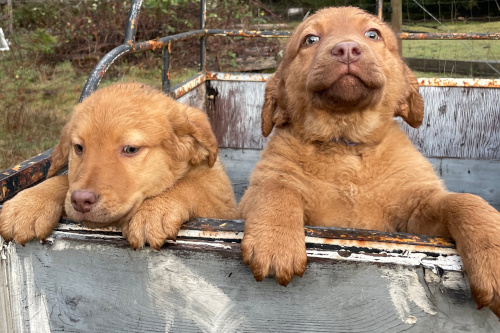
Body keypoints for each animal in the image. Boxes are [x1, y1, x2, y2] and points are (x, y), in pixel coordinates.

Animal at [0, 81, 237, 248]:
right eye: (78, 147)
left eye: (130, 149)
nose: (81, 201)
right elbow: (64, 180)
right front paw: (28, 204)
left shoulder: (222, 205)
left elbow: (194, 186)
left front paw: (153, 210)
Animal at [237, 6, 500, 316]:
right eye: (310, 39)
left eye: (372, 34)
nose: (347, 49)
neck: (346, 145)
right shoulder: (254, 194)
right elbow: (276, 187)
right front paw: (275, 241)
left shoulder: (415, 214)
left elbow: (464, 201)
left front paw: (494, 254)